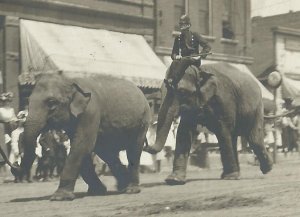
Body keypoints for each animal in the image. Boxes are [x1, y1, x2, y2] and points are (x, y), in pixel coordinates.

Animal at [12, 72, 151, 200]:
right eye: (28, 101)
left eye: (51, 102)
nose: (15, 165)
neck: (69, 80)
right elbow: (81, 147)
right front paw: (97, 191)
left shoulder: (91, 111)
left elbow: (82, 145)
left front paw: (59, 197)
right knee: (106, 153)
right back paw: (122, 186)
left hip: (142, 122)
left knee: (133, 151)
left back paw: (131, 189)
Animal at [144, 58, 274, 184]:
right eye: (161, 92)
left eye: (182, 91)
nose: (145, 142)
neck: (200, 71)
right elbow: (183, 132)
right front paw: (173, 180)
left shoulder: (224, 100)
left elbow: (222, 131)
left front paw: (230, 177)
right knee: (233, 138)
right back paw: (232, 174)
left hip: (257, 108)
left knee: (253, 139)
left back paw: (266, 169)